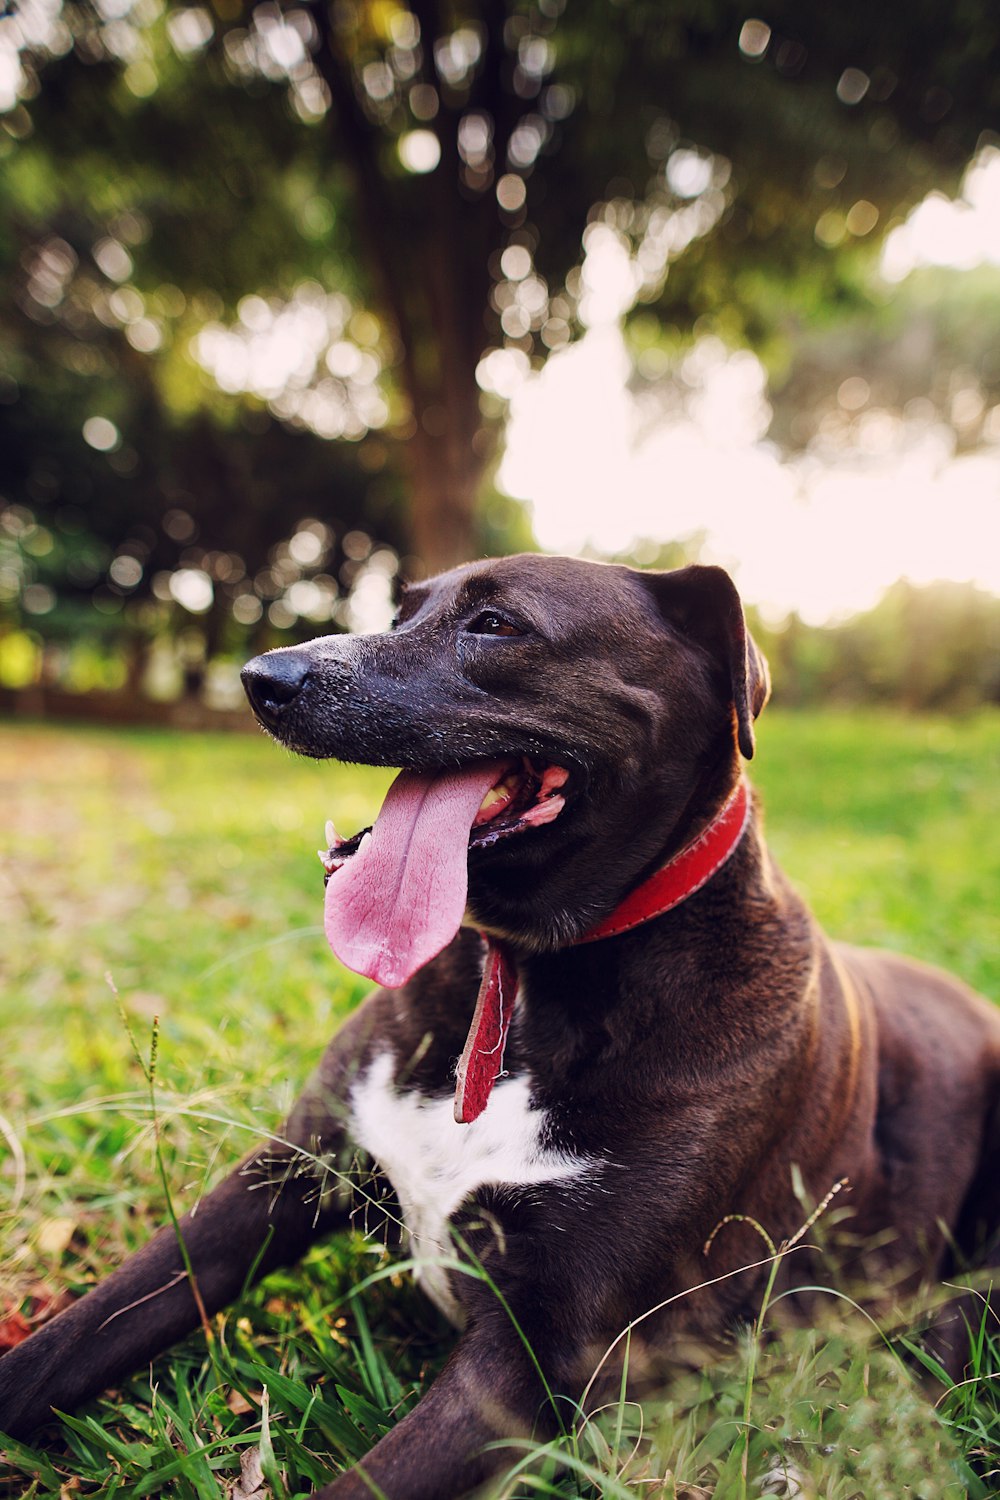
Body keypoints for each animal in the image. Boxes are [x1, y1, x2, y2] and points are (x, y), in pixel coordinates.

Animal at [1, 558, 1000, 1494]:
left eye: (498, 625)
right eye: (402, 610)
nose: (262, 678)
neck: (521, 982)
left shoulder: (538, 1356)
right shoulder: (279, 1178)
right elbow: (76, 1336)